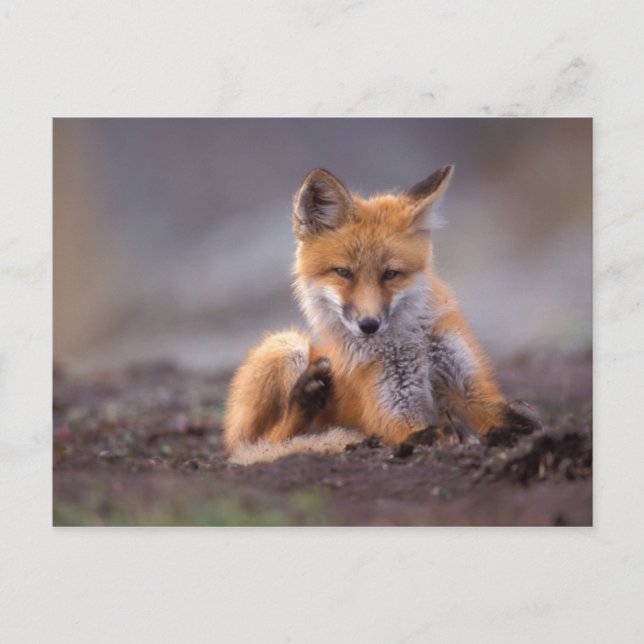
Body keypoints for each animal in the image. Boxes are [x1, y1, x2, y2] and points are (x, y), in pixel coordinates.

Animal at [224, 165, 540, 464]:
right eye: (343, 273)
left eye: (390, 274)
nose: (368, 325)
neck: (409, 344)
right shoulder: (394, 413)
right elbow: (426, 432)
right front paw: (453, 434)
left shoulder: (473, 389)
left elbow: (514, 417)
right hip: (286, 346)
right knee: (265, 441)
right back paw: (305, 399)